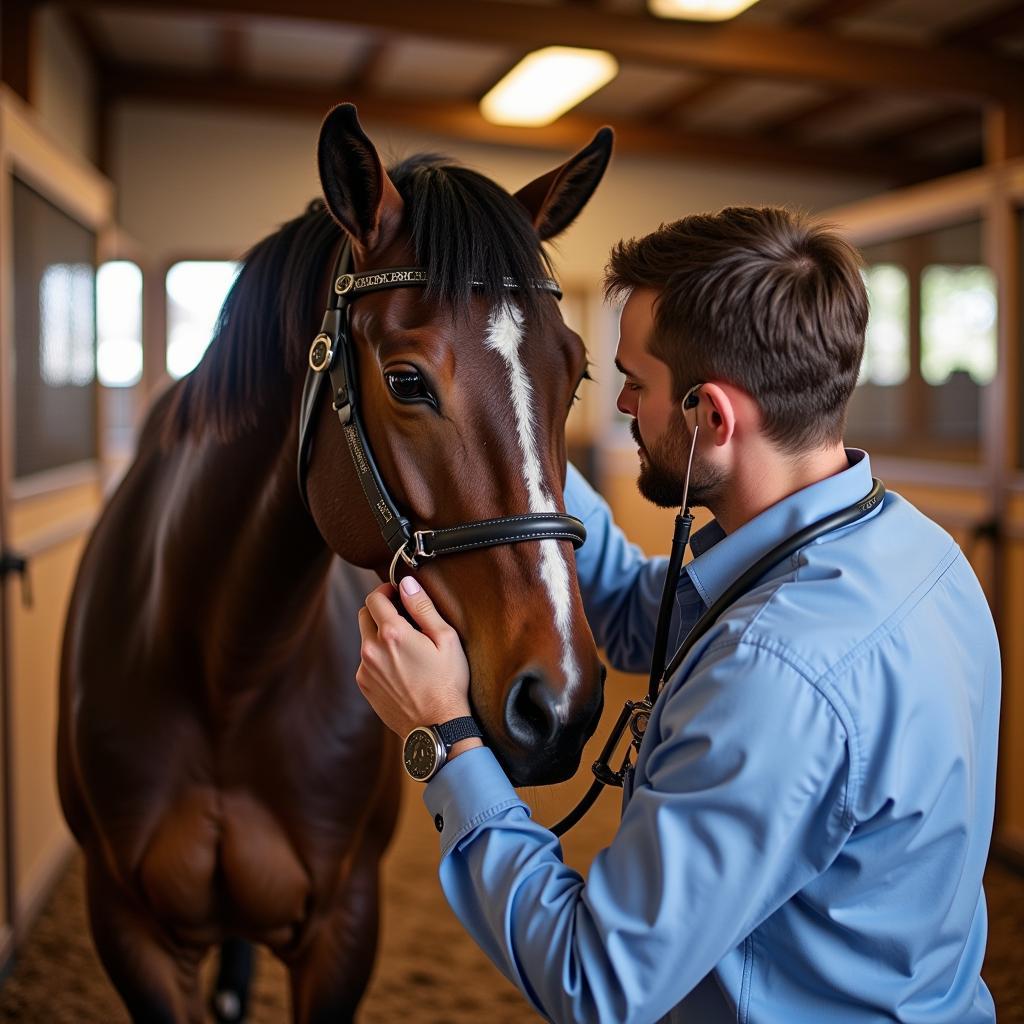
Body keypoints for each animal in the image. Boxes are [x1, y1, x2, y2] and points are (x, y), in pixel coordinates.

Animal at [56, 105, 610, 1024]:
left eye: (575, 377)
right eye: (407, 380)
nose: (558, 703)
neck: (224, 671)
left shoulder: (343, 927)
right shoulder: (130, 931)